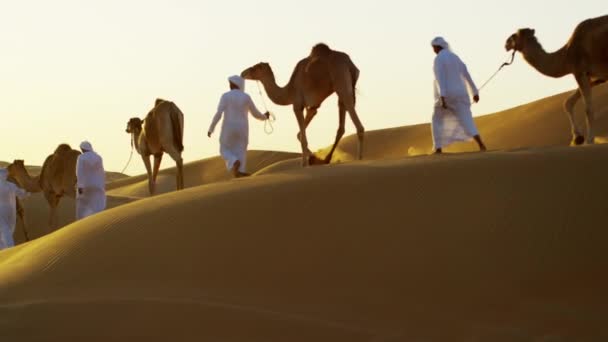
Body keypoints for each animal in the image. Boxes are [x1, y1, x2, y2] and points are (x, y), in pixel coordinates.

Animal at [504, 15, 608, 146]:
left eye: (514, 35)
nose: (506, 44)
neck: (566, 56)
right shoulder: (595, 77)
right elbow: (567, 103)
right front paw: (577, 137)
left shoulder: (579, 71)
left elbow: (588, 109)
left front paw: (589, 140)